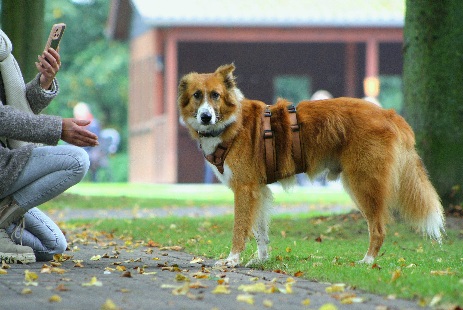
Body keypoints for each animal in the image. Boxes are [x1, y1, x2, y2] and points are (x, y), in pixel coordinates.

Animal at [178, 64, 446, 268]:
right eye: (197, 95)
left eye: (215, 95)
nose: (205, 117)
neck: (233, 125)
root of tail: (388, 113)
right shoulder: (259, 191)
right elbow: (260, 231)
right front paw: (261, 259)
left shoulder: (244, 190)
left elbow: (240, 228)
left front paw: (232, 260)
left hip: (362, 184)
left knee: (379, 228)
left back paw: (367, 261)